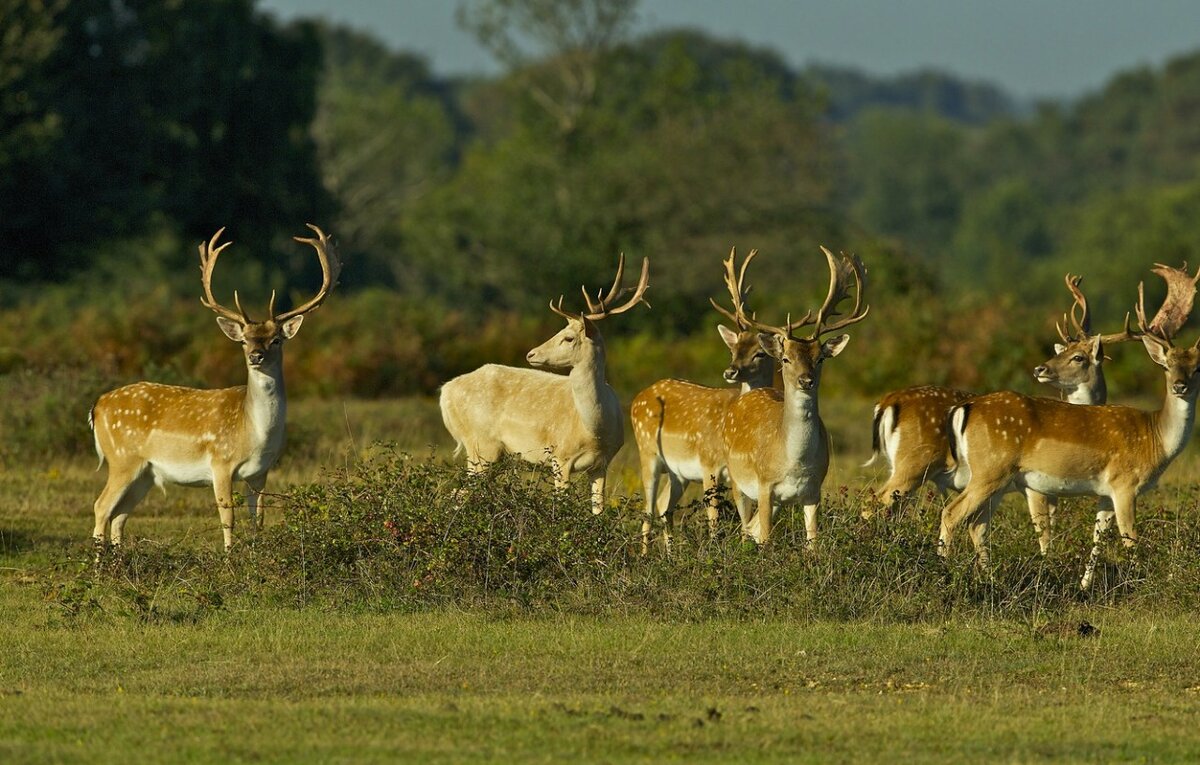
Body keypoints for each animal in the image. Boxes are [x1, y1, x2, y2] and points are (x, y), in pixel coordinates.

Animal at [88, 225, 340, 553]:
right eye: (244, 340)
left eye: (276, 340)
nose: (255, 356)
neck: (253, 433)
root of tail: (97, 406)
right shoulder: (221, 463)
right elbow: (227, 518)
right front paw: (229, 557)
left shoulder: (261, 472)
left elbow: (258, 519)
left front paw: (256, 555)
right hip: (122, 459)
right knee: (101, 506)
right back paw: (97, 563)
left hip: (146, 473)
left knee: (119, 515)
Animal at [439, 254, 648, 513]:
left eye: (568, 338)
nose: (531, 354)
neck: (595, 430)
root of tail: (445, 392)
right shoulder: (560, 456)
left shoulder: (603, 463)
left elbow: (598, 511)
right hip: (480, 444)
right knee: (459, 493)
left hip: (491, 454)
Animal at [628, 249, 777, 553]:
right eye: (734, 348)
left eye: (760, 353)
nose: (730, 371)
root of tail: (639, 396)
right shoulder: (709, 464)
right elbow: (714, 517)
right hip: (647, 452)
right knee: (648, 507)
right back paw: (645, 554)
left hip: (678, 474)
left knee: (663, 504)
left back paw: (669, 554)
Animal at [715, 245, 868, 546]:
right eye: (785, 359)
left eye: (820, 358)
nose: (806, 380)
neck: (795, 463)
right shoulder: (764, 486)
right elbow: (766, 539)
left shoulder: (813, 491)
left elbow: (813, 542)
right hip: (738, 480)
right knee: (745, 528)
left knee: (750, 528)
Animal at [940, 263, 1195, 587]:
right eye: (1166, 367)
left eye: (1077, 357)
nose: (1180, 386)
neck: (1155, 437)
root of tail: (963, 408)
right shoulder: (1121, 485)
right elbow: (1126, 540)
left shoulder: (1103, 492)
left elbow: (1096, 537)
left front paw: (1084, 585)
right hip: (990, 470)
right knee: (951, 513)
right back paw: (944, 571)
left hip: (993, 480)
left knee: (976, 524)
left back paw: (989, 579)